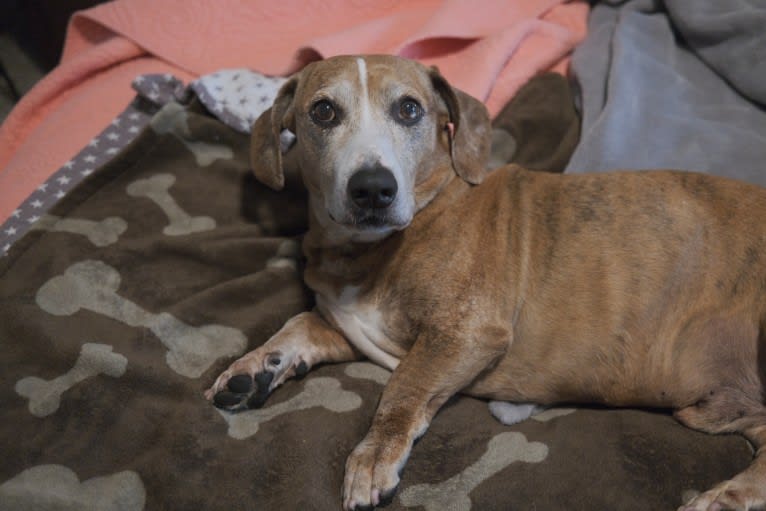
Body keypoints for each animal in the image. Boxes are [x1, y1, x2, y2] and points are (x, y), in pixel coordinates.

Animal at [207, 54, 766, 510]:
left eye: (410, 110)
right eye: (323, 112)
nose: (373, 189)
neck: (370, 251)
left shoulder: (467, 333)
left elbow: (403, 388)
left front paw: (373, 456)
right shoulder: (351, 327)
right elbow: (299, 324)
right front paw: (255, 367)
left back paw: (722, 497)